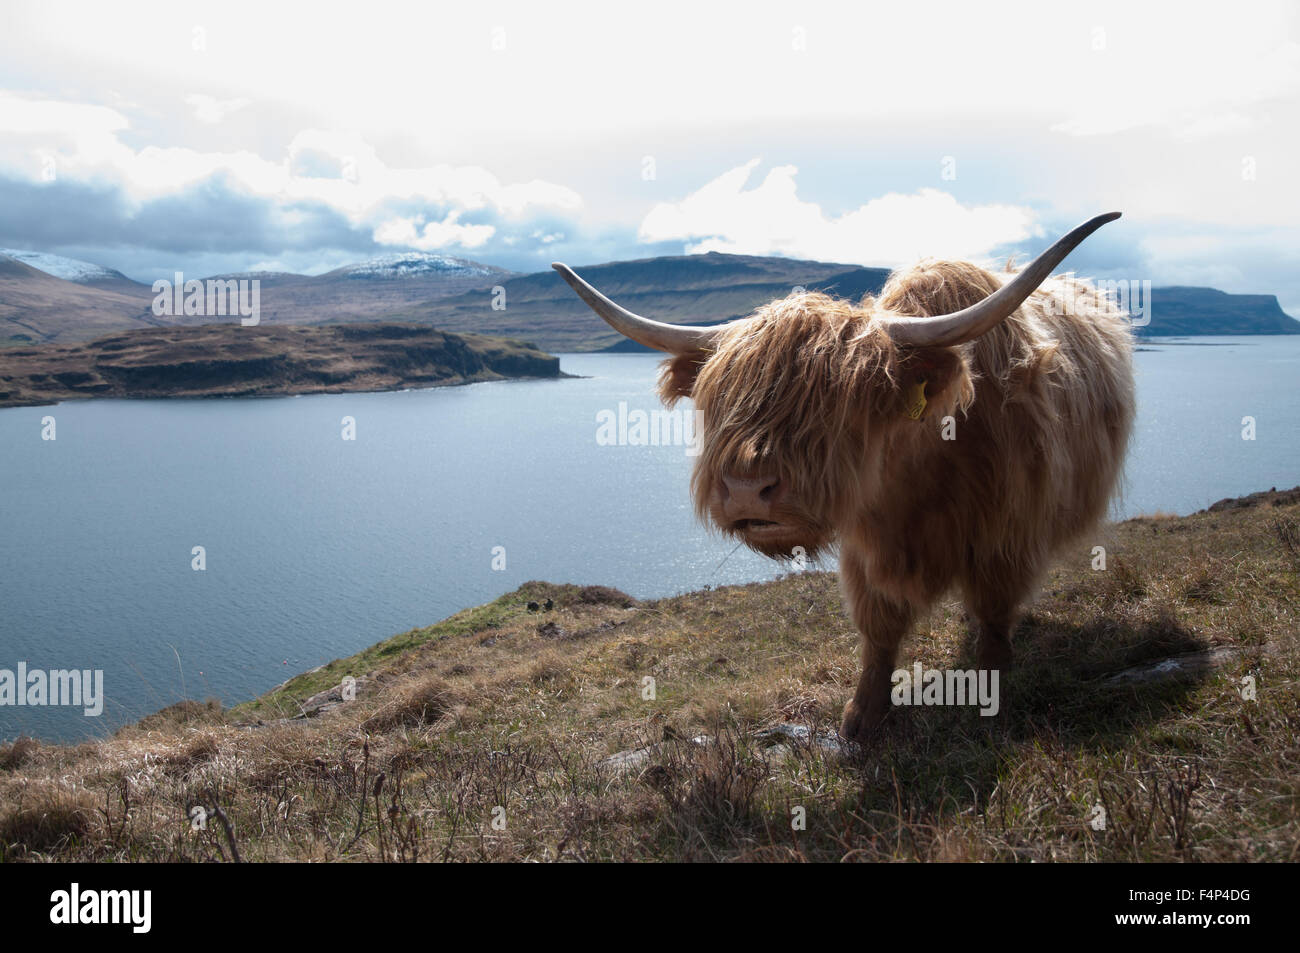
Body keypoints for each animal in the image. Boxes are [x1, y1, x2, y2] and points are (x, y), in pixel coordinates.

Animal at [553, 211, 1133, 738]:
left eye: (847, 402)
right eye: (720, 399)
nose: (747, 491)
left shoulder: (1005, 539)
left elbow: (992, 617)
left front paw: (990, 694)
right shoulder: (864, 548)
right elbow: (878, 630)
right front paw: (861, 720)